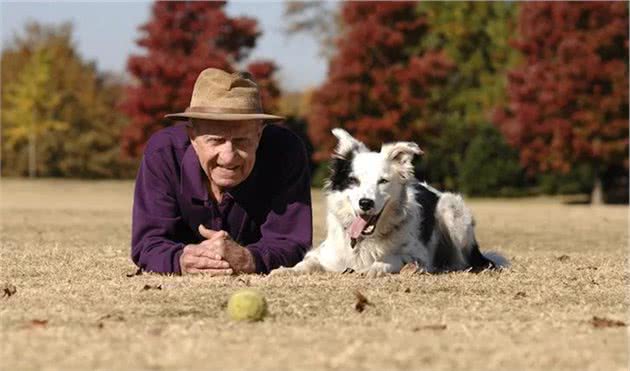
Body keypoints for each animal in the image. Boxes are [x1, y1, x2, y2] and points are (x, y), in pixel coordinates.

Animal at [272, 129, 508, 278]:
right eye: (353, 180)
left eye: (383, 181)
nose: (365, 203)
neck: (364, 242)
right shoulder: (325, 254)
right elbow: (307, 262)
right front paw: (286, 270)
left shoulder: (417, 254)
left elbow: (392, 259)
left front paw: (375, 268)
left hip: (451, 212)